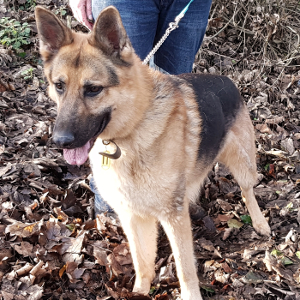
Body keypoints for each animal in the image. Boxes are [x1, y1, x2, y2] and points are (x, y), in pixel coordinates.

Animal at [35, 5, 272, 300]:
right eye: (59, 86)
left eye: (93, 89)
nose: (61, 140)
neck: (133, 128)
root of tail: (227, 80)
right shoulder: (133, 216)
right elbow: (142, 260)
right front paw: (140, 291)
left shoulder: (172, 217)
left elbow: (184, 267)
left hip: (242, 162)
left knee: (247, 190)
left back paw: (260, 222)